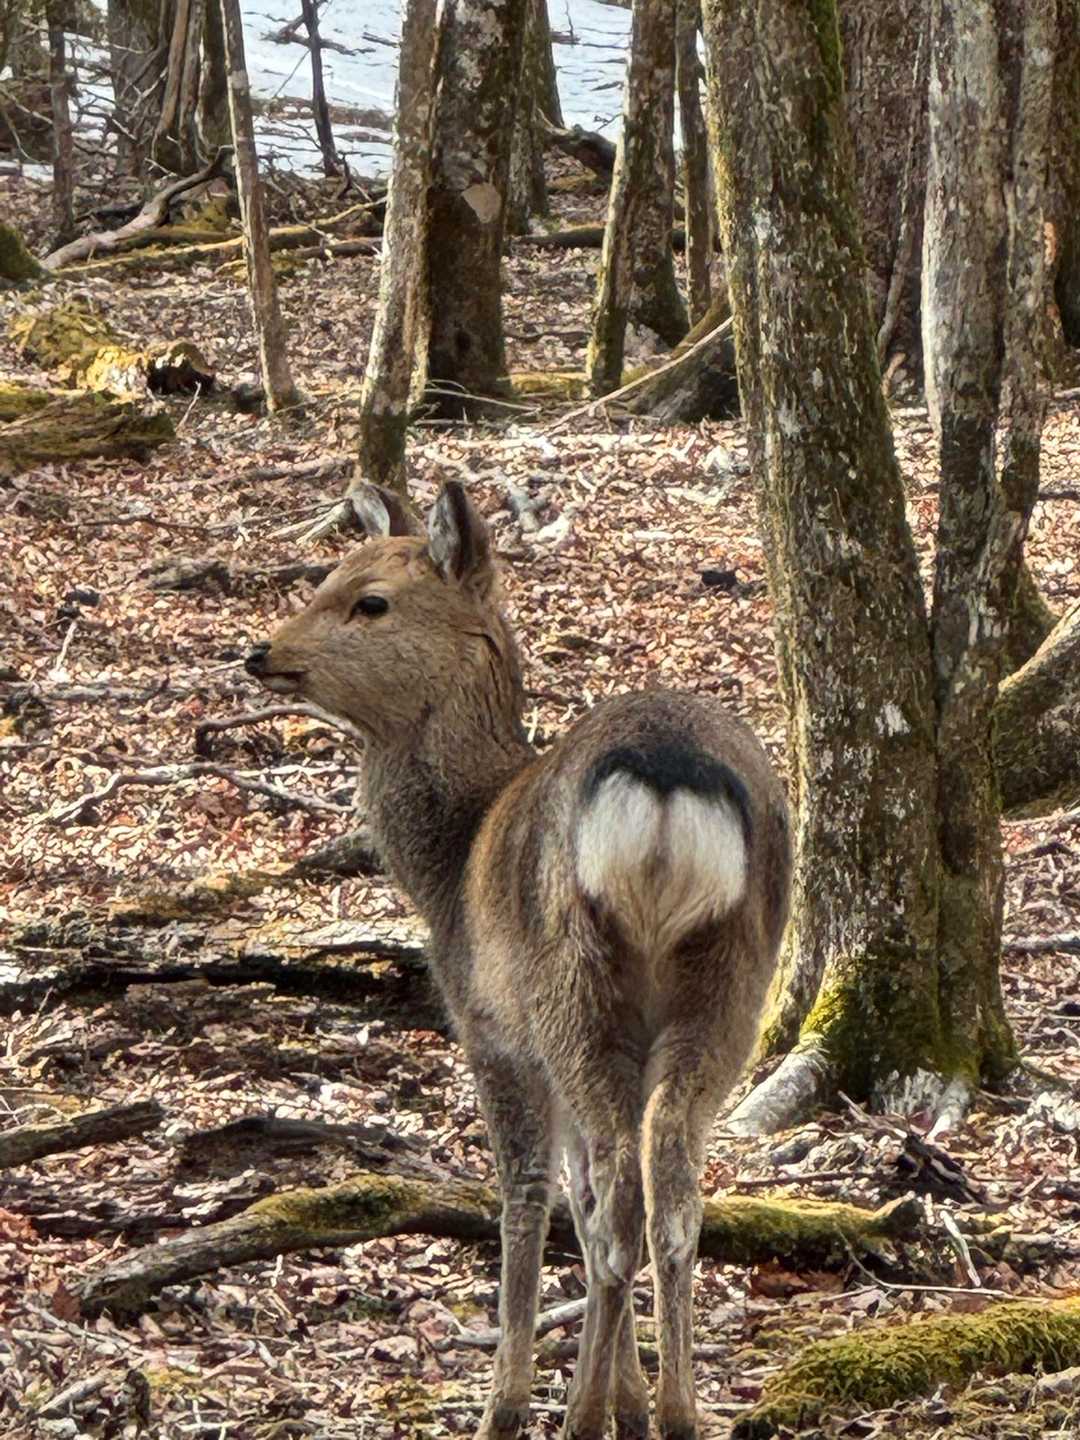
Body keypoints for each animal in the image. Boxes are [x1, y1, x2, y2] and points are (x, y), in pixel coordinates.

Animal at [245, 481, 791, 1440]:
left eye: (369, 601)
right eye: (329, 575)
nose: (262, 654)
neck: (449, 865)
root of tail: (665, 782)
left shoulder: (493, 1032)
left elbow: (529, 1196)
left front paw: (511, 1403)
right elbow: (584, 1192)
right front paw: (625, 1401)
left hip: (569, 984)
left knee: (616, 1200)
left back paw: (578, 1415)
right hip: (729, 983)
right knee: (669, 1191)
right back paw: (676, 1413)